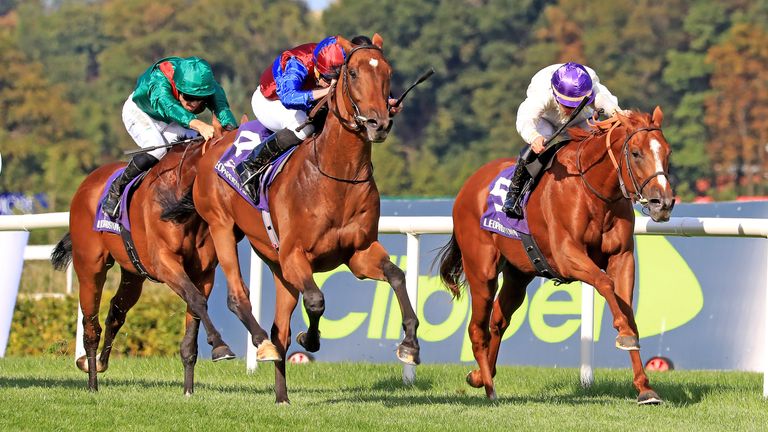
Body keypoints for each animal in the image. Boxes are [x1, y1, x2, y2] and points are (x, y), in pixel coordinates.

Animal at [50, 135, 280, 394]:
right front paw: (220, 346)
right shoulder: (165, 264)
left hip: (133, 274)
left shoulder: (204, 274)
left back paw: (100, 363)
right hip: (90, 267)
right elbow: (197, 300)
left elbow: (194, 314)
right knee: (91, 325)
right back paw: (92, 382)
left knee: (116, 312)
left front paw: (189, 389)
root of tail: (86, 183)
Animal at [192, 34, 420, 404]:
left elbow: (397, 276)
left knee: (280, 330)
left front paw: (410, 345)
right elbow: (316, 300)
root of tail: (216, 140)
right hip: (222, 227)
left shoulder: (359, 253)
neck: (337, 176)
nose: (379, 123)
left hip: (277, 266)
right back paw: (260, 346)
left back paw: (282, 396)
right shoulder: (295, 254)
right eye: (353, 73)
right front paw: (310, 339)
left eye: (387, 72)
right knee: (239, 297)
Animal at [438, 106, 672, 404]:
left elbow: (628, 309)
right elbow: (606, 285)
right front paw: (624, 334)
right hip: (482, 270)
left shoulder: (622, 256)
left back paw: (479, 376)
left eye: (667, 152)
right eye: (636, 153)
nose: (663, 203)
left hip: (518, 274)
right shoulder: (566, 255)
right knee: (477, 328)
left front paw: (645, 388)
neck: (593, 190)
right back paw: (490, 389)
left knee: (498, 321)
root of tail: (468, 186)